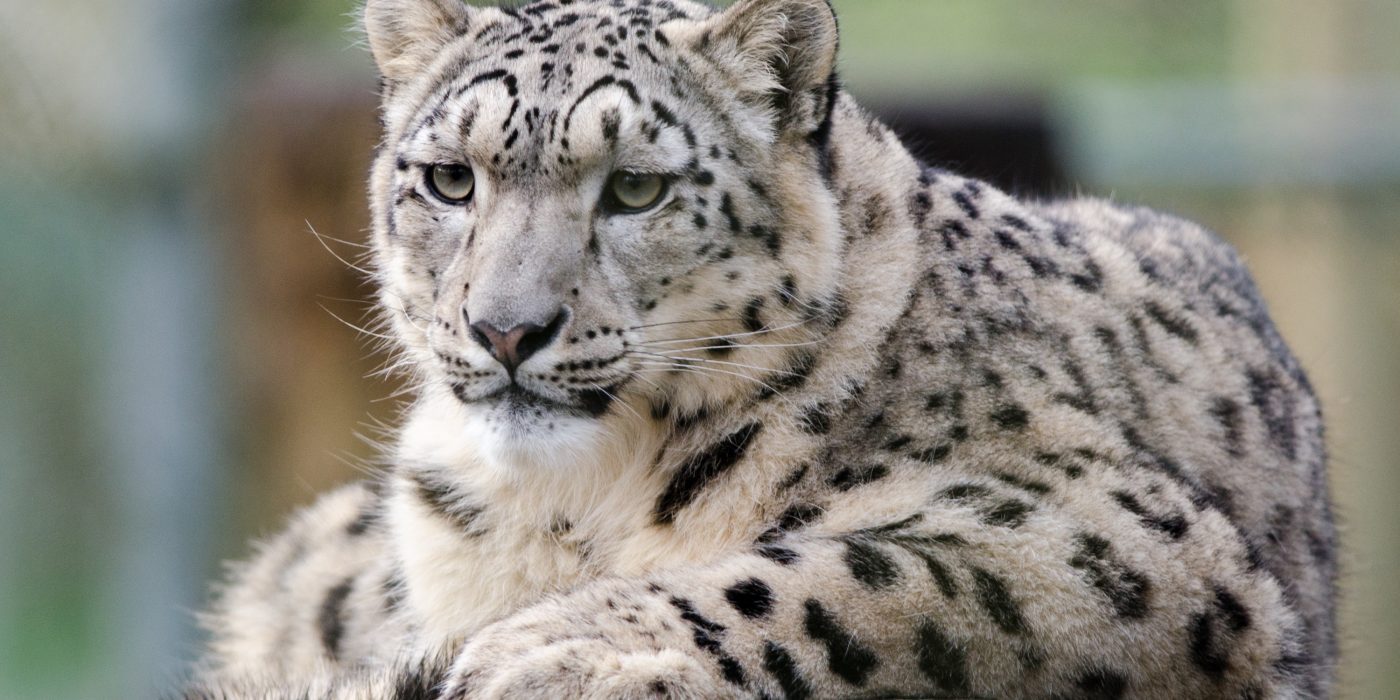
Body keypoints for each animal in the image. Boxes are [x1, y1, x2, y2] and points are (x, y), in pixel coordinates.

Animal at [185, 0, 1338, 697]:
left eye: (635, 187)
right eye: (450, 179)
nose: (506, 327)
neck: (568, 505)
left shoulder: (1102, 533)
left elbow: (859, 577)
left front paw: (548, 647)